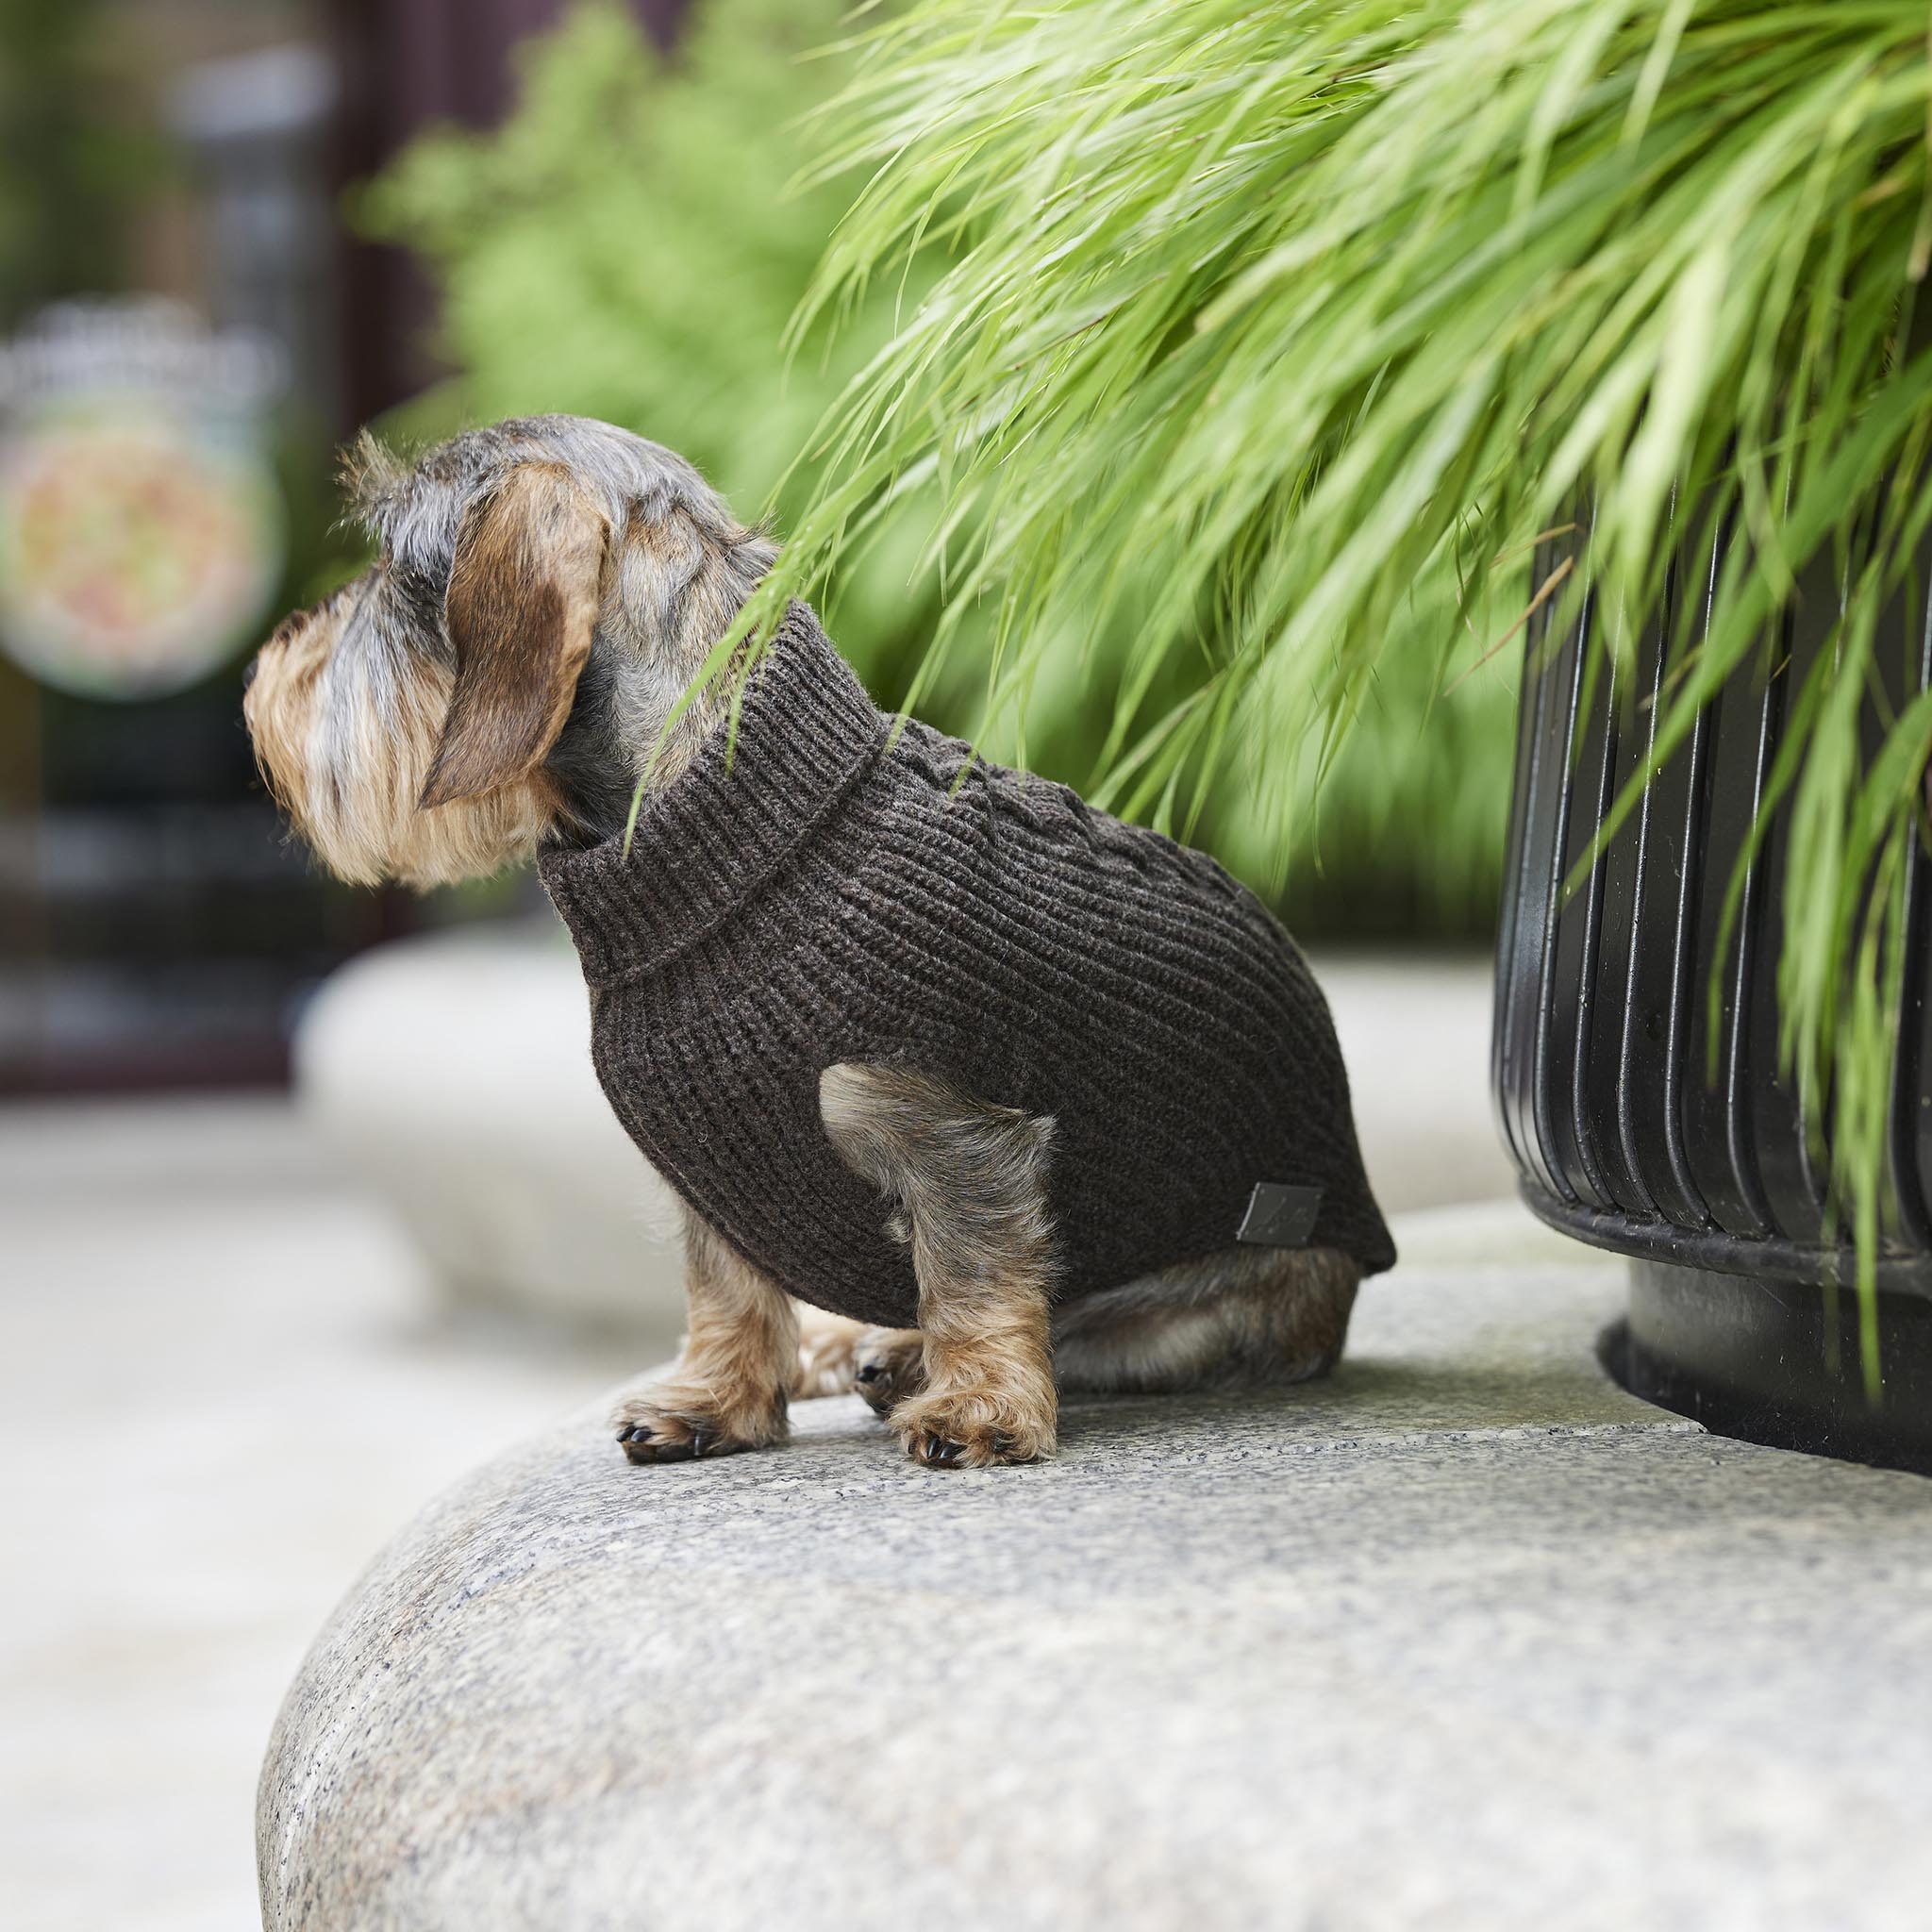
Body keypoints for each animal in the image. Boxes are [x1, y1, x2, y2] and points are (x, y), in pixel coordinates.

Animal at [249, 415, 1391, 1468]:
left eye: (395, 573)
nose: (268, 672)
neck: (740, 838)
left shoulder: (958, 1133)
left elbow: (977, 1274)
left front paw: (979, 1406)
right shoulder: (709, 1164)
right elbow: (724, 1287)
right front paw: (714, 1399)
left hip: (1209, 1295)